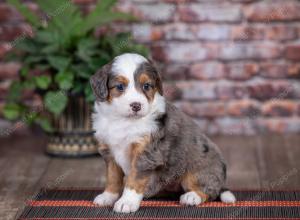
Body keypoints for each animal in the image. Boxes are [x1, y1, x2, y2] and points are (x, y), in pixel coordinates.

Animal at [90, 53, 236, 213]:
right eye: (120, 87)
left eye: (146, 86)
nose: (136, 105)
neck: (124, 121)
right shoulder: (110, 152)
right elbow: (112, 177)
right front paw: (108, 196)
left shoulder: (145, 153)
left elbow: (134, 179)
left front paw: (127, 202)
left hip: (198, 168)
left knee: (207, 189)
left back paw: (191, 197)